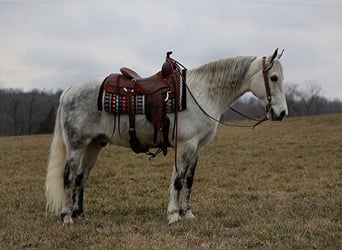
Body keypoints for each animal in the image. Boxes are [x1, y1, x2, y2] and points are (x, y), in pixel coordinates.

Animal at [44, 48, 288, 225]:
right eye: (274, 78)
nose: (282, 113)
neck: (201, 93)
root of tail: (68, 91)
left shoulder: (197, 148)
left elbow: (188, 179)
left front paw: (187, 213)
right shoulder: (186, 145)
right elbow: (178, 180)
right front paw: (173, 215)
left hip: (94, 145)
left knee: (81, 177)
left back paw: (80, 215)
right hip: (76, 145)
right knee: (68, 176)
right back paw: (66, 217)